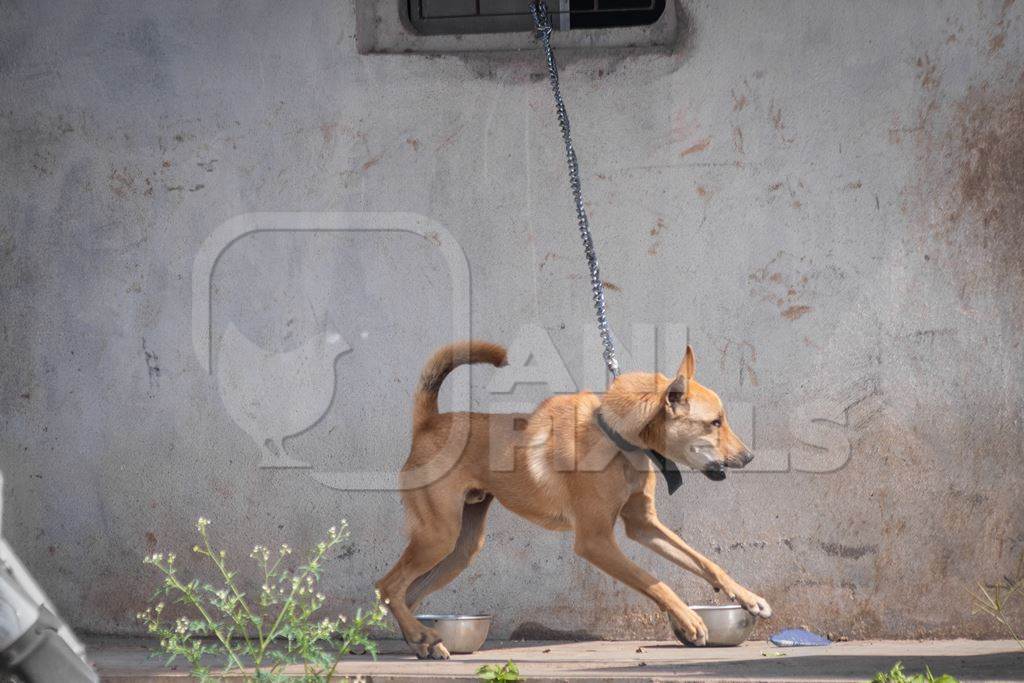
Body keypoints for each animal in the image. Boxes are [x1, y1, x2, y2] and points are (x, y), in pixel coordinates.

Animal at [376, 342, 770, 655]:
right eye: (715, 423)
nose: (749, 457)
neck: (617, 438)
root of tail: (428, 423)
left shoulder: (644, 525)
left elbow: (705, 562)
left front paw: (748, 598)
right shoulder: (596, 541)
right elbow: (652, 580)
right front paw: (689, 619)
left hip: (460, 549)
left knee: (404, 595)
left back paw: (422, 640)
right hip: (438, 537)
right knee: (387, 587)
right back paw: (420, 636)